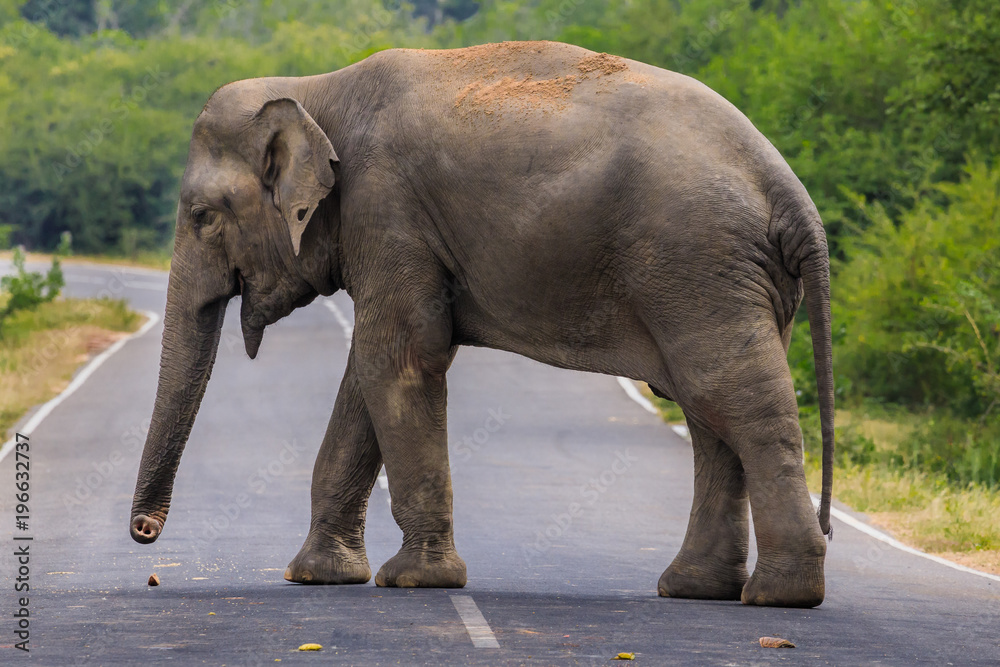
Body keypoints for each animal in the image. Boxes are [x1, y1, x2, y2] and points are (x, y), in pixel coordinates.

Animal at [131, 39, 836, 608]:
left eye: (203, 217)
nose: (144, 533)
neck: (317, 89)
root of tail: (791, 193)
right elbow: (371, 371)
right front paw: (318, 576)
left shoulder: (387, 209)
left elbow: (399, 360)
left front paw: (414, 581)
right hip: (725, 277)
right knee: (707, 406)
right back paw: (696, 589)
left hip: (695, 259)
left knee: (731, 395)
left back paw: (780, 596)